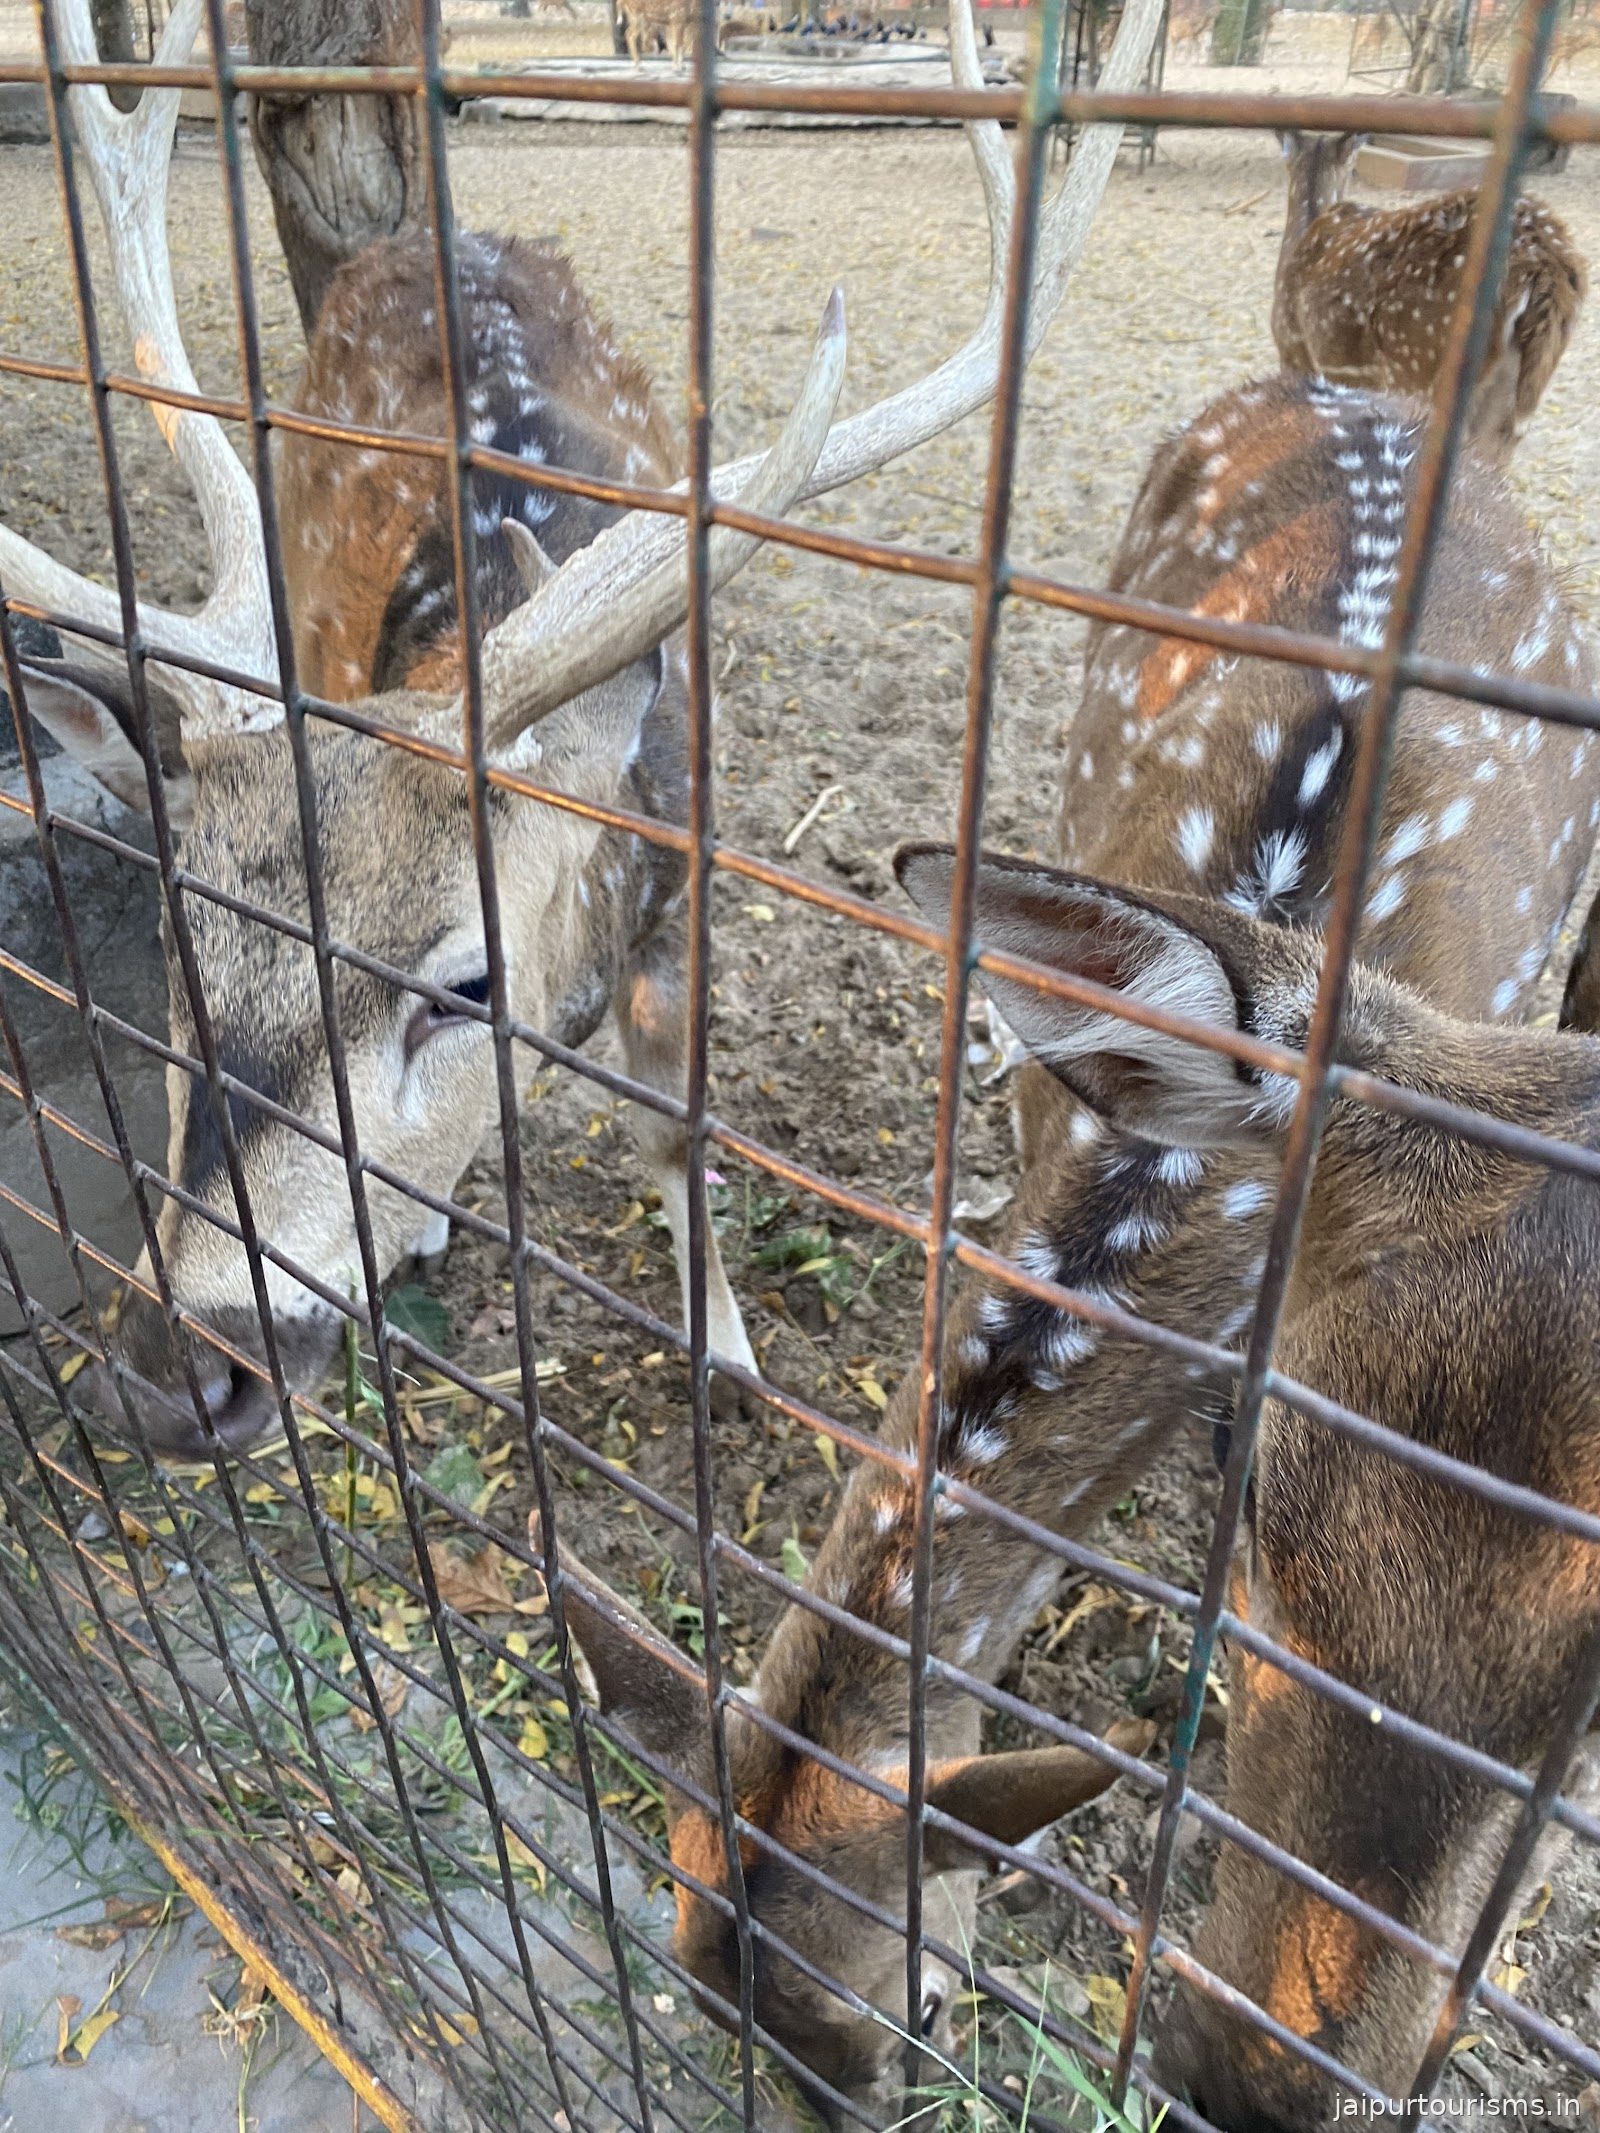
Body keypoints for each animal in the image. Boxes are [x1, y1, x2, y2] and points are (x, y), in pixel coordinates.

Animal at [1, 0, 1160, 1465]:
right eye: (177, 943)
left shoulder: (682, 901)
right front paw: (429, 1224)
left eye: (465, 983)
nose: (171, 1376)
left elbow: (677, 1133)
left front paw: (725, 1351)